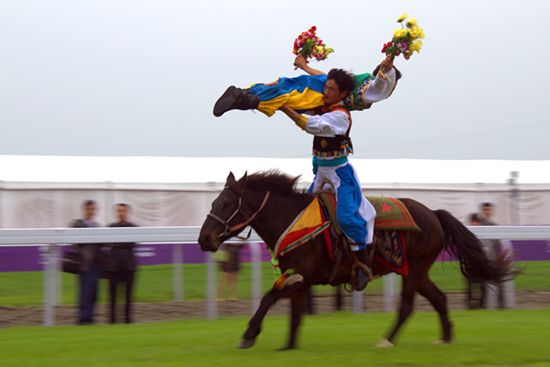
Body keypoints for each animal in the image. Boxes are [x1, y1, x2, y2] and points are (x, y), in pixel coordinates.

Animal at [198, 172, 512, 350]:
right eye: (213, 202)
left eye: (226, 204)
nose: (204, 239)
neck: (295, 220)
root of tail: (433, 214)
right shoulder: (298, 278)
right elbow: (295, 314)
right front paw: (287, 347)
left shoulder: (303, 275)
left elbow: (268, 298)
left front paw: (249, 335)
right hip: (418, 273)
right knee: (439, 299)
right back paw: (445, 338)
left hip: (412, 271)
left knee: (407, 306)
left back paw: (387, 340)